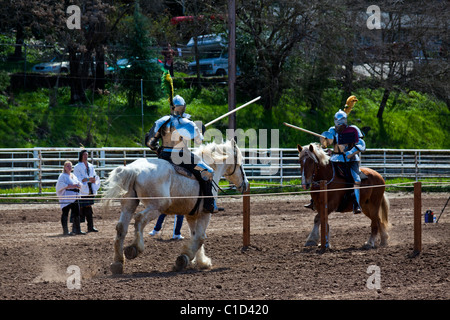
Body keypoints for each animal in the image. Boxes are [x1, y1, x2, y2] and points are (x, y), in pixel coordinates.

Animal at [103, 140, 250, 276]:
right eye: (241, 164)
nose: (246, 184)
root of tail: (133, 170)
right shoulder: (205, 213)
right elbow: (201, 237)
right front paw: (184, 259)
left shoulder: (192, 215)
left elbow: (195, 236)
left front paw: (201, 261)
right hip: (156, 206)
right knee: (139, 219)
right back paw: (135, 248)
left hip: (129, 204)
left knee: (121, 227)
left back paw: (117, 263)